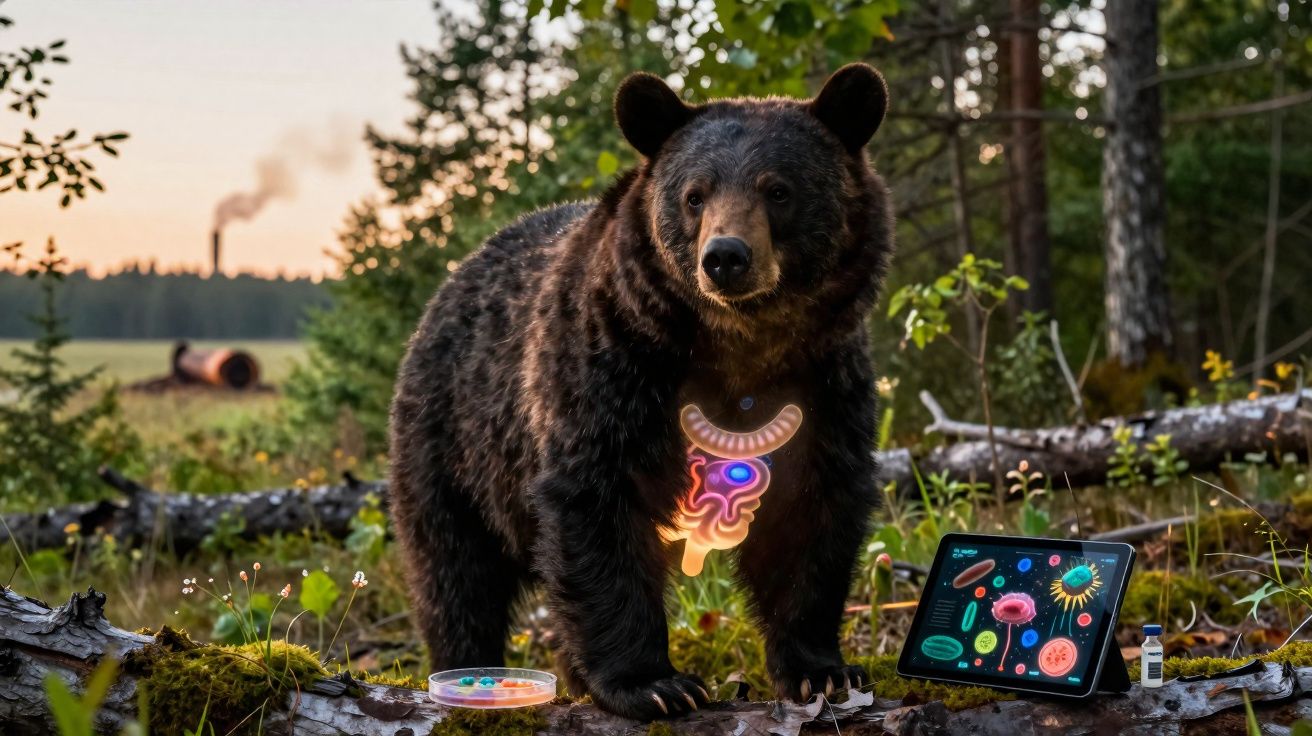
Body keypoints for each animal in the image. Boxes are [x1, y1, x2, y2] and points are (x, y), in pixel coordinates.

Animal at [388, 63, 894, 720]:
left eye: (778, 190)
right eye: (694, 195)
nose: (725, 257)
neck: (740, 345)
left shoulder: (824, 382)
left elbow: (811, 518)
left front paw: (821, 670)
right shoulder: (614, 370)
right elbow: (599, 502)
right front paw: (654, 683)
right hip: (454, 447)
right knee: (456, 574)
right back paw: (466, 665)